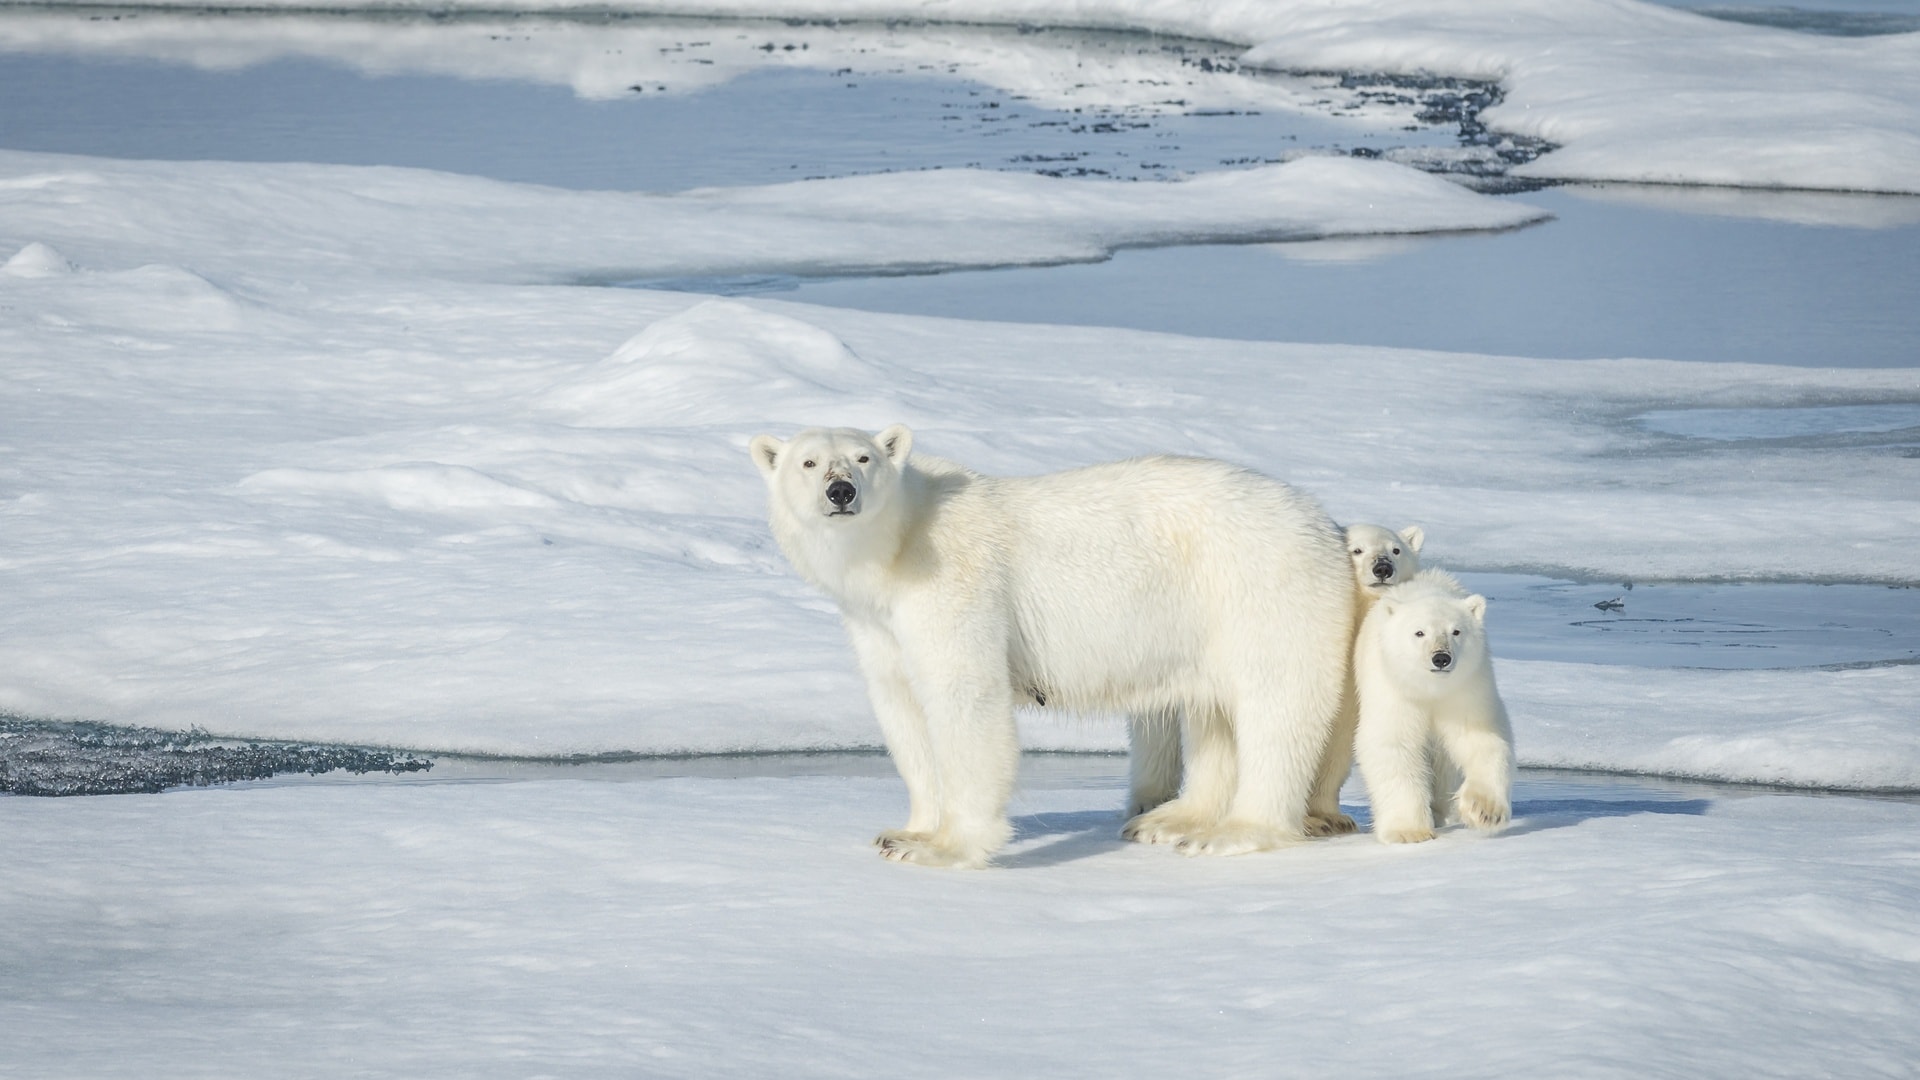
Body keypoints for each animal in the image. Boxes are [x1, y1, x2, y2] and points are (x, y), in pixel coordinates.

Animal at [744, 420, 1351, 864]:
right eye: (808, 462)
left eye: (864, 458)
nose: (840, 490)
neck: (898, 545)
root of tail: (1323, 522)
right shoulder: (878, 621)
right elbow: (901, 708)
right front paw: (904, 833)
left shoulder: (953, 584)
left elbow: (965, 697)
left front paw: (946, 847)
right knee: (1212, 711)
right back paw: (1171, 819)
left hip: (1259, 588)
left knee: (1275, 705)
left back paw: (1230, 832)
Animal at [1297, 522, 1420, 834]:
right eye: (1357, 550)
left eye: (1396, 549)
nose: (1382, 568)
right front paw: (1309, 823)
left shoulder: (1351, 691)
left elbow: (1338, 745)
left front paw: (1332, 817)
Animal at [1351, 564, 1512, 841]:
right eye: (1419, 632)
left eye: (1456, 631)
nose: (1441, 658)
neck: (1429, 689)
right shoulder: (1393, 689)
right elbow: (1394, 743)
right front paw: (1409, 831)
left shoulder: (1466, 688)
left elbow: (1479, 737)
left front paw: (1484, 810)